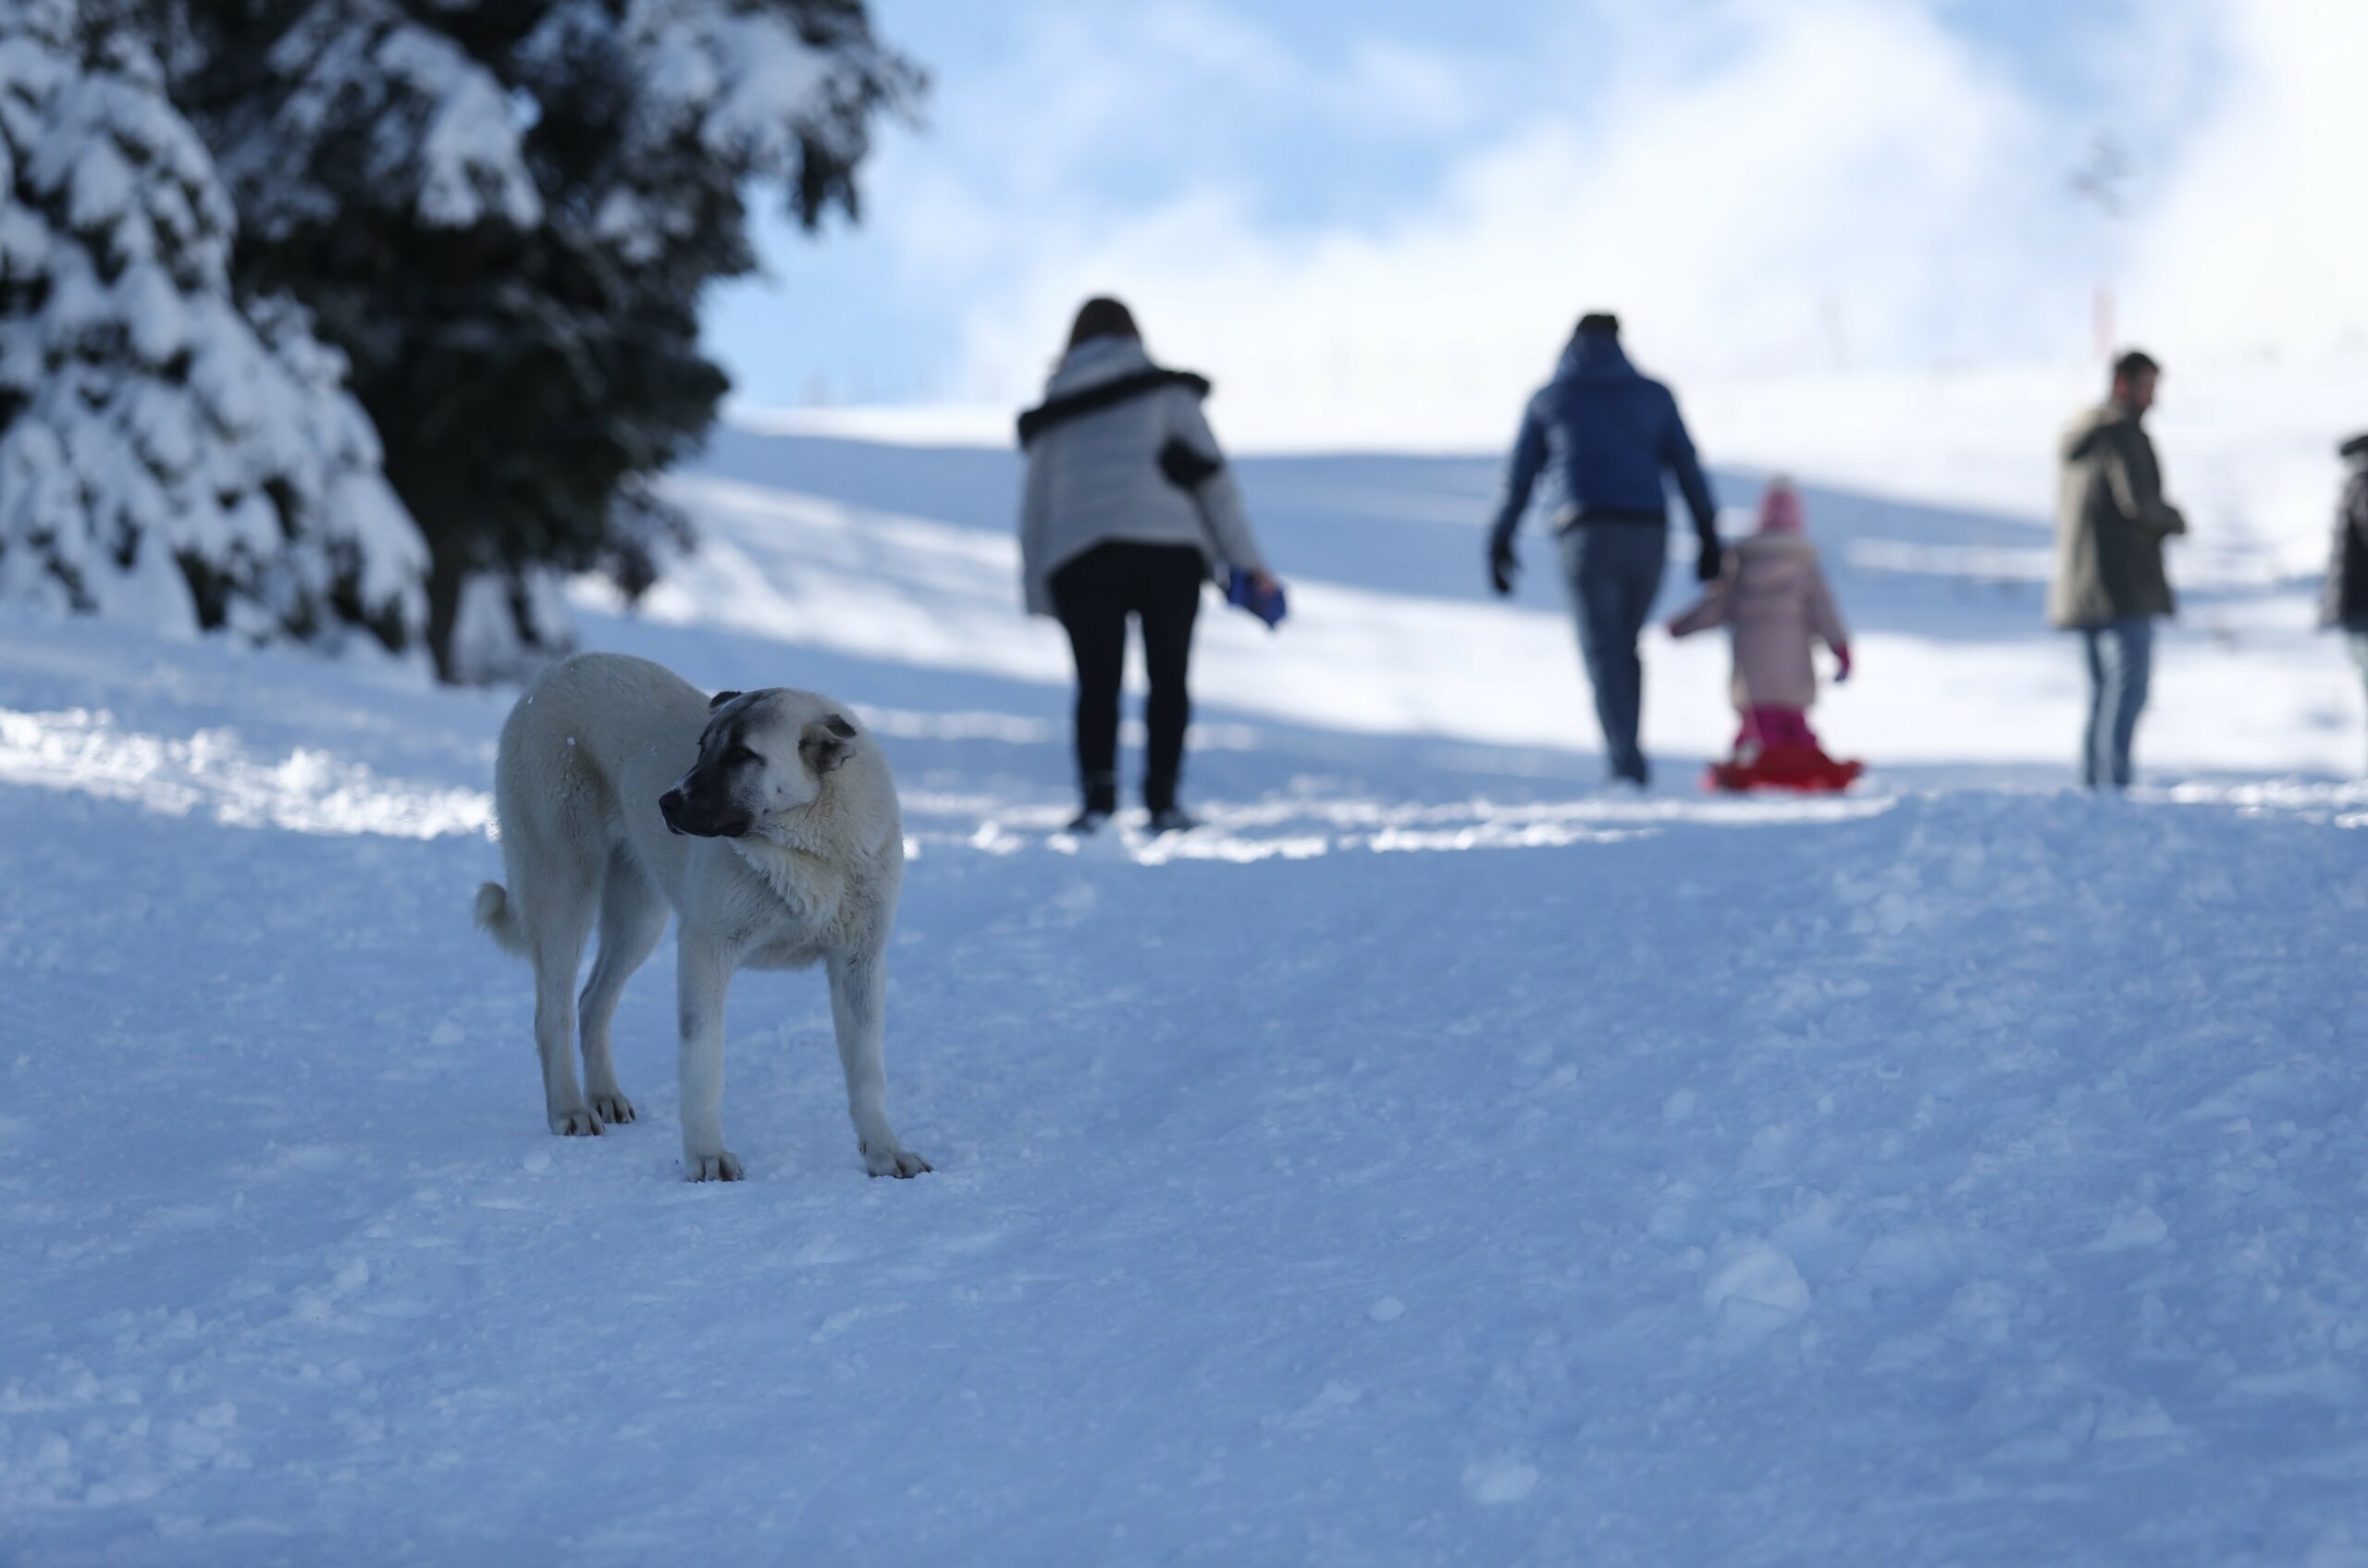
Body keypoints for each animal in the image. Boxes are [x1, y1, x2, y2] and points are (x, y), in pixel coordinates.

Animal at [475, 658, 928, 1184]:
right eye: (701, 746)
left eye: (741, 755)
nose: (665, 802)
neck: (809, 850)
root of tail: (556, 672)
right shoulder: (704, 950)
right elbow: (702, 1066)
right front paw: (707, 1158)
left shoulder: (860, 964)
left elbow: (868, 1074)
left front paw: (885, 1153)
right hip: (564, 893)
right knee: (554, 1012)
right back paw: (570, 1109)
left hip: (640, 918)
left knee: (593, 1001)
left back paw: (605, 1096)